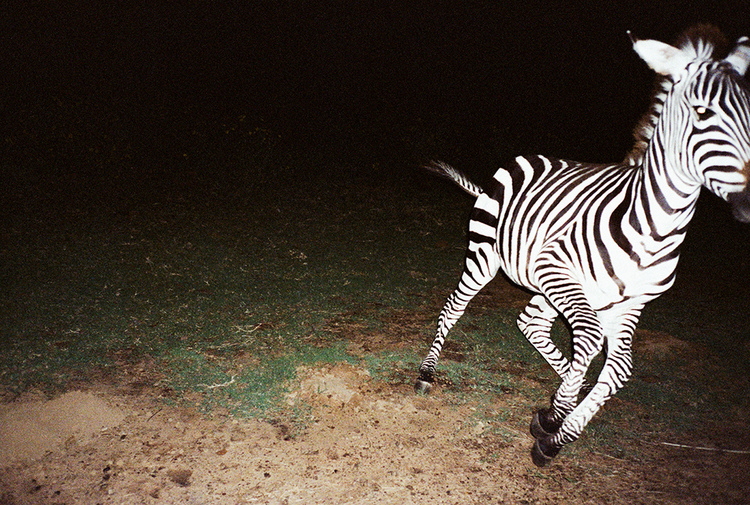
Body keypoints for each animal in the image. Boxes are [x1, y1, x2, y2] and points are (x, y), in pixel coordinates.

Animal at [415, 25, 750, 467]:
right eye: (701, 112)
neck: (654, 227)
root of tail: (526, 159)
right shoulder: (560, 270)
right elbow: (590, 342)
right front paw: (554, 418)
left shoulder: (629, 303)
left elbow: (619, 367)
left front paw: (557, 430)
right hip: (491, 256)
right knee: (457, 306)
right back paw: (426, 372)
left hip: (554, 287)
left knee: (533, 323)